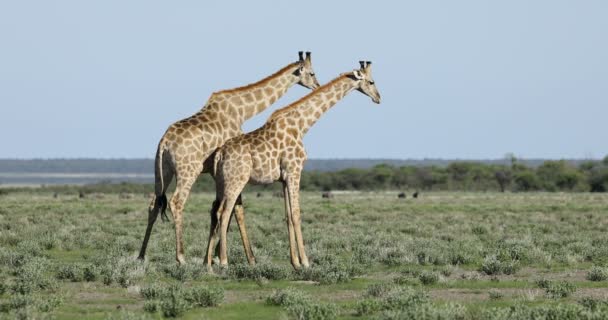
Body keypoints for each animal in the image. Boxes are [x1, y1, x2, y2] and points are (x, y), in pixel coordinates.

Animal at [137, 51, 318, 264]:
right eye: (312, 73)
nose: (317, 85)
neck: (242, 111)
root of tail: (164, 142)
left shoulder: (218, 173)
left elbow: (221, 209)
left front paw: (213, 256)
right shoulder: (230, 169)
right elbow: (235, 209)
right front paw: (245, 257)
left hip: (162, 171)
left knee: (154, 204)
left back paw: (141, 255)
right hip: (188, 170)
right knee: (177, 202)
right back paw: (181, 257)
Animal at [208, 60, 380, 270]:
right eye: (371, 82)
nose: (378, 98)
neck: (301, 126)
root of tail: (219, 154)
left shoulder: (284, 178)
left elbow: (288, 216)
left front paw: (295, 262)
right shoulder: (295, 171)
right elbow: (297, 214)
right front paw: (305, 261)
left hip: (221, 182)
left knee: (217, 211)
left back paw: (208, 263)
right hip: (236, 180)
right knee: (225, 213)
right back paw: (224, 262)